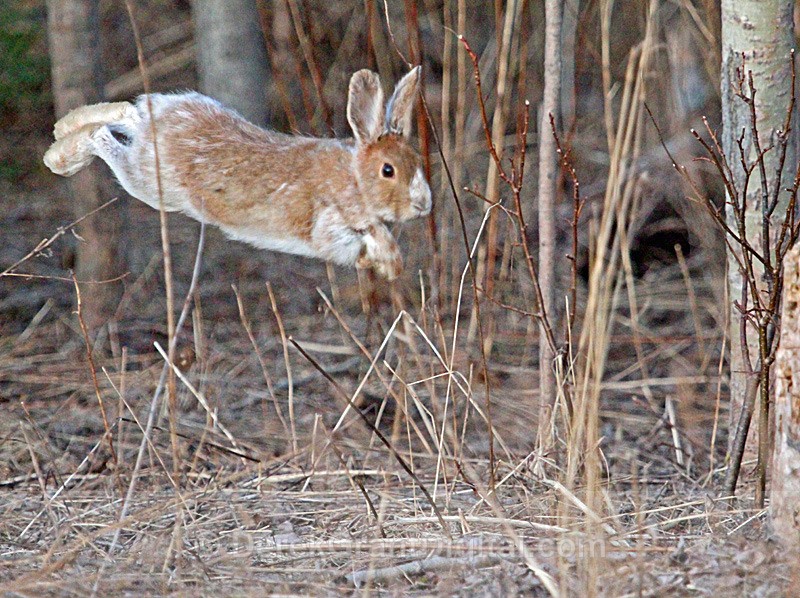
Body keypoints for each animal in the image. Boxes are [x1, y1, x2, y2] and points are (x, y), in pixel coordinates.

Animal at [43, 67, 432, 281]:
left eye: (416, 159)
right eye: (388, 170)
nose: (424, 205)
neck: (354, 178)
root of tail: (165, 122)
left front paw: (390, 265)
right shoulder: (329, 226)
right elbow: (360, 237)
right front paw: (386, 263)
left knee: (125, 112)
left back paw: (62, 132)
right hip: (148, 182)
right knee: (103, 136)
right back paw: (60, 158)